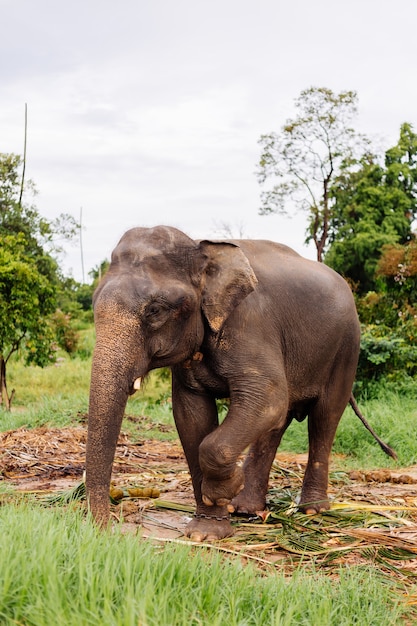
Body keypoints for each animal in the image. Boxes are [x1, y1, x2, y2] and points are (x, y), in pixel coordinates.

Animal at [84, 225, 384, 540]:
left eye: (155, 310)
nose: (107, 532)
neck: (201, 247)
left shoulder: (250, 324)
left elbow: (267, 396)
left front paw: (225, 488)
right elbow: (192, 416)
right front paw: (206, 532)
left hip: (347, 348)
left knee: (324, 417)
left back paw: (312, 510)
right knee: (278, 422)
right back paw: (244, 508)